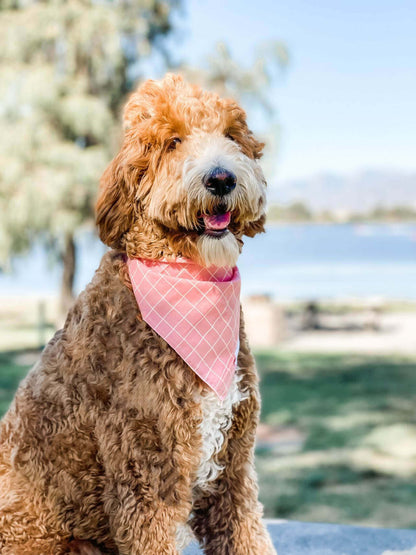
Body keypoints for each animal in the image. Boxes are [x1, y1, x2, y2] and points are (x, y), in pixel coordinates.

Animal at [0, 75, 274, 555]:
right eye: (173, 142)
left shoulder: (233, 467)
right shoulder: (146, 477)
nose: (221, 178)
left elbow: (247, 534)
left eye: (230, 135)